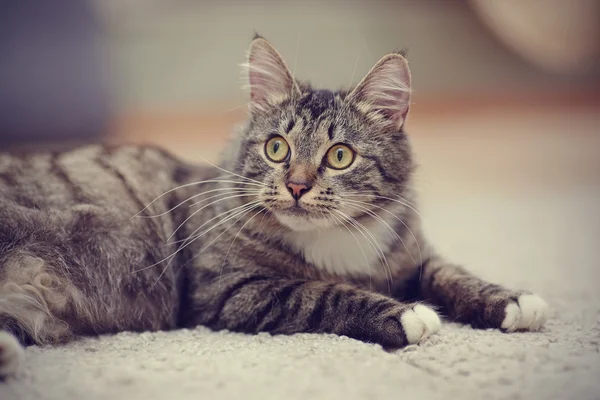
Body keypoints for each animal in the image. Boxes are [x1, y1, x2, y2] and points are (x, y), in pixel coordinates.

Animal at [0, 36, 548, 376]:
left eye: (340, 156)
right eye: (277, 149)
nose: (298, 187)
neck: (335, 239)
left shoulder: (410, 252)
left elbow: (452, 274)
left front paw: (513, 302)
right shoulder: (228, 289)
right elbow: (320, 293)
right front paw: (408, 315)